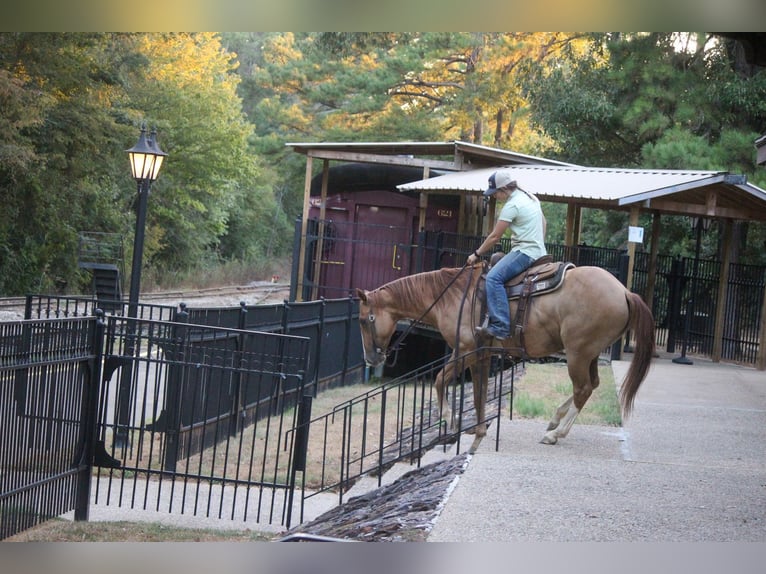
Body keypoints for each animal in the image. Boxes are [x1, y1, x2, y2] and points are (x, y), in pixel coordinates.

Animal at [356, 264, 656, 456]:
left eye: (364, 319)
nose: (370, 358)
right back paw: (555, 421)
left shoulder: (467, 350)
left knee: (582, 388)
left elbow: (456, 385)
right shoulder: (474, 353)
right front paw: (465, 427)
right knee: (590, 386)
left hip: (578, 353)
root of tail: (624, 292)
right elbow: (463, 388)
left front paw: (460, 425)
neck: (451, 296)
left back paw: (555, 434)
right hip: (589, 353)